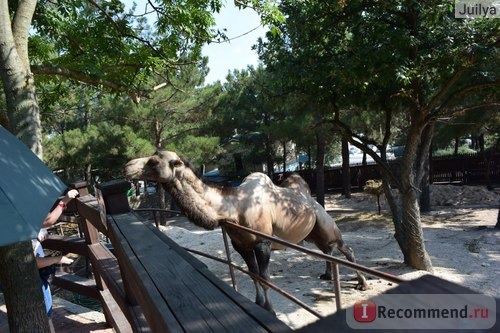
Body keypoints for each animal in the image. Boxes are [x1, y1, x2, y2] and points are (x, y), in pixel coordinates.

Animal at [125, 150, 368, 312]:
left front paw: (270, 309)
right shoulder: (240, 245)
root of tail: (312, 200)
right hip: (311, 233)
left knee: (346, 249)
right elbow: (252, 274)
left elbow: (264, 277)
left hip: (325, 223)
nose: (127, 166)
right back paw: (328, 275)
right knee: (327, 249)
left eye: (154, 160)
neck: (233, 207)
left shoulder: (262, 243)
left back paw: (362, 283)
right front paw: (258, 303)